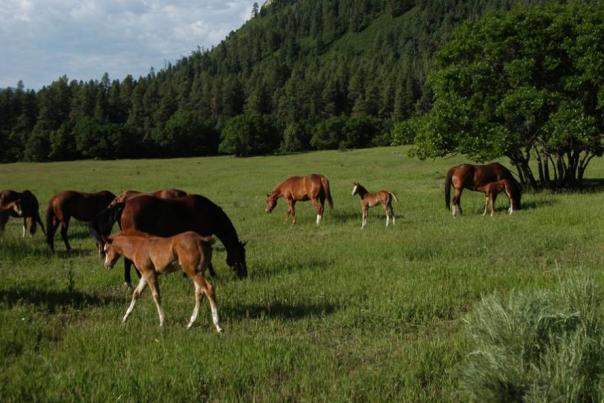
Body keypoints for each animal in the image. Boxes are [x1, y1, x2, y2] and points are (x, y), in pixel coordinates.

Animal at [88, 193, 248, 288]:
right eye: (240, 256)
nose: (244, 275)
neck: (208, 213)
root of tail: (124, 204)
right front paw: (213, 274)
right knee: (128, 260)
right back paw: (132, 280)